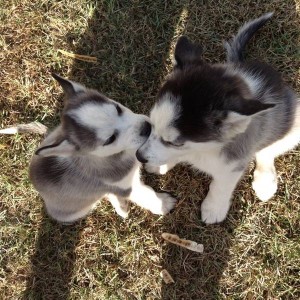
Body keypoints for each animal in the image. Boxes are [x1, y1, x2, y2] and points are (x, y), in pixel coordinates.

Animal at [29, 74, 175, 224]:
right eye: (110, 139)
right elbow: (145, 194)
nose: (147, 128)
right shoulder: (125, 186)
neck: (120, 153)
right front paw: (163, 203)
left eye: (117, 108)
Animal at [137, 14, 300, 224]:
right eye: (151, 125)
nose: (139, 156)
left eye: (175, 142)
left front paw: (214, 208)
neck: (206, 149)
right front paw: (160, 164)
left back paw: (265, 180)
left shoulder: (232, 165)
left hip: (293, 123)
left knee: (268, 148)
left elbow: (220, 186)